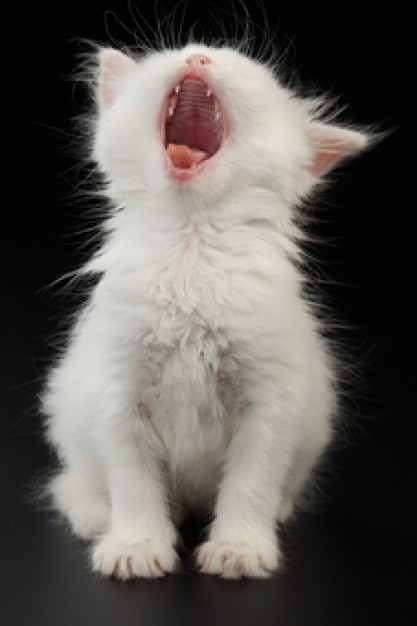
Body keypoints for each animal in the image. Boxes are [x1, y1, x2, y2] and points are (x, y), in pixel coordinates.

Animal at [42, 42, 368, 580]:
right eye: (173, 56)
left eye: (239, 67)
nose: (198, 55)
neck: (191, 248)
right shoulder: (118, 394)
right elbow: (134, 485)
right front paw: (136, 546)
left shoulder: (271, 402)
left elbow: (250, 486)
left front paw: (239, 549)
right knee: (75, 485)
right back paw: (97, 516)